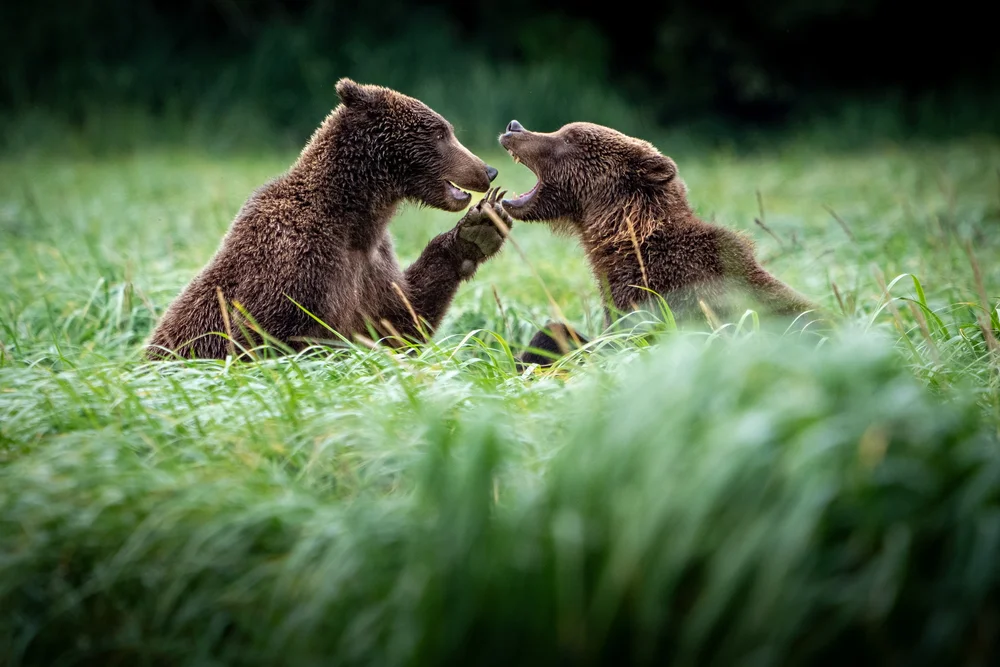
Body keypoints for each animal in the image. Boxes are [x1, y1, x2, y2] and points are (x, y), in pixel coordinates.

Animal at [145, 79, 514, 360]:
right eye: (440, 133)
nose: (488, 170)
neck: (353, 216)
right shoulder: (295, 257)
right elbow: (265, 333)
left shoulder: (370, 265)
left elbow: (398, 319)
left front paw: (479, 230)